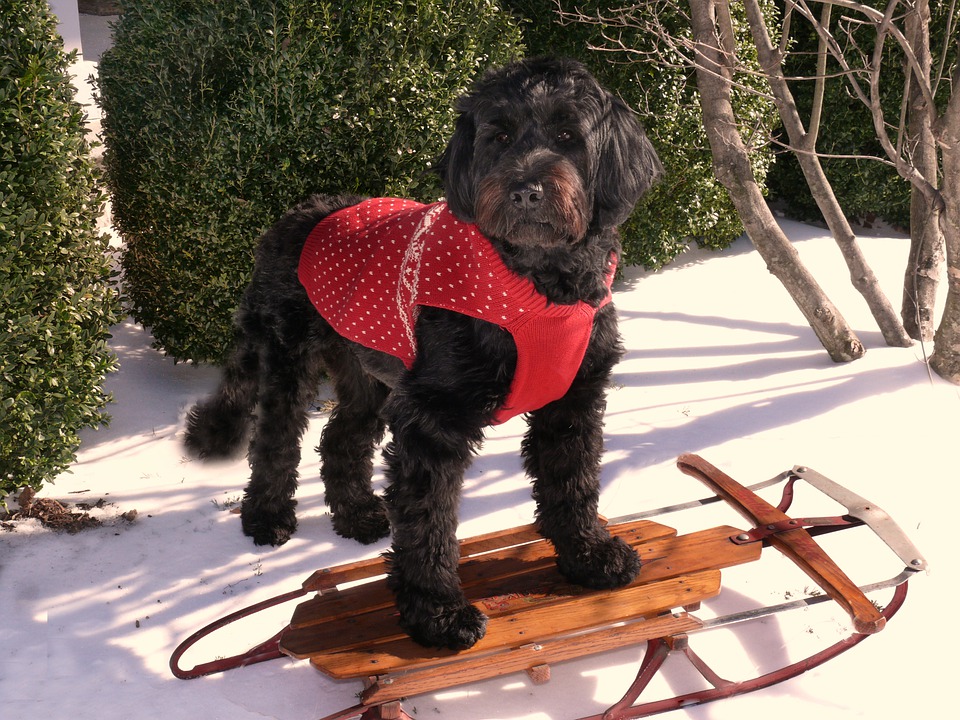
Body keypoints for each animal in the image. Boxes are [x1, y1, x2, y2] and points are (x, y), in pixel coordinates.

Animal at [185, 56, 664, 648]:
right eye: (498, 137)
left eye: (568, 136)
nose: (526, 191)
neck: (533, 283)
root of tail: (294, 216)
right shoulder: (432, 418)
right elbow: (429, 520)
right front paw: (436, 612)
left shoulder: (572, 401)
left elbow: (572, 483)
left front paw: (590, 557)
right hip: (288, 356)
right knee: (275, 440)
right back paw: (267, 517)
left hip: (368, 368)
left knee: (341, 435)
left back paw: (357, 515)